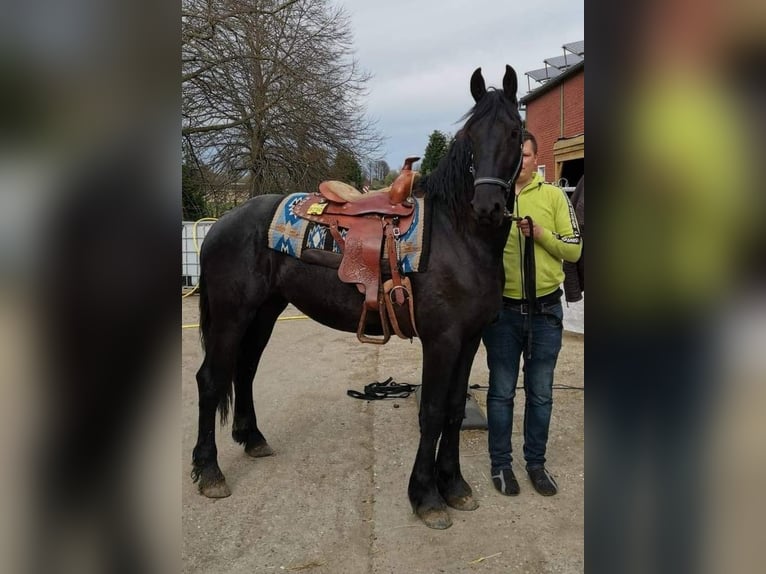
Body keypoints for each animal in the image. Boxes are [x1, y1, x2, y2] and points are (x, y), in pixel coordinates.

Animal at [195, 66, 524, 532]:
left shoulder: (470, 339)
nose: (487, 206)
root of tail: (222, 224)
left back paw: (252, 438)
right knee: (210, 380)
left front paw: (455, 485)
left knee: (245, 371)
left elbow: (455, 410)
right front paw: (426, 497)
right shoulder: (441, 341)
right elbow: (432, 412)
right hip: (230, 316)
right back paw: (209, 472)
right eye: (470, 136)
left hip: (263, 314)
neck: (457, 236)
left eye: (515, 132)